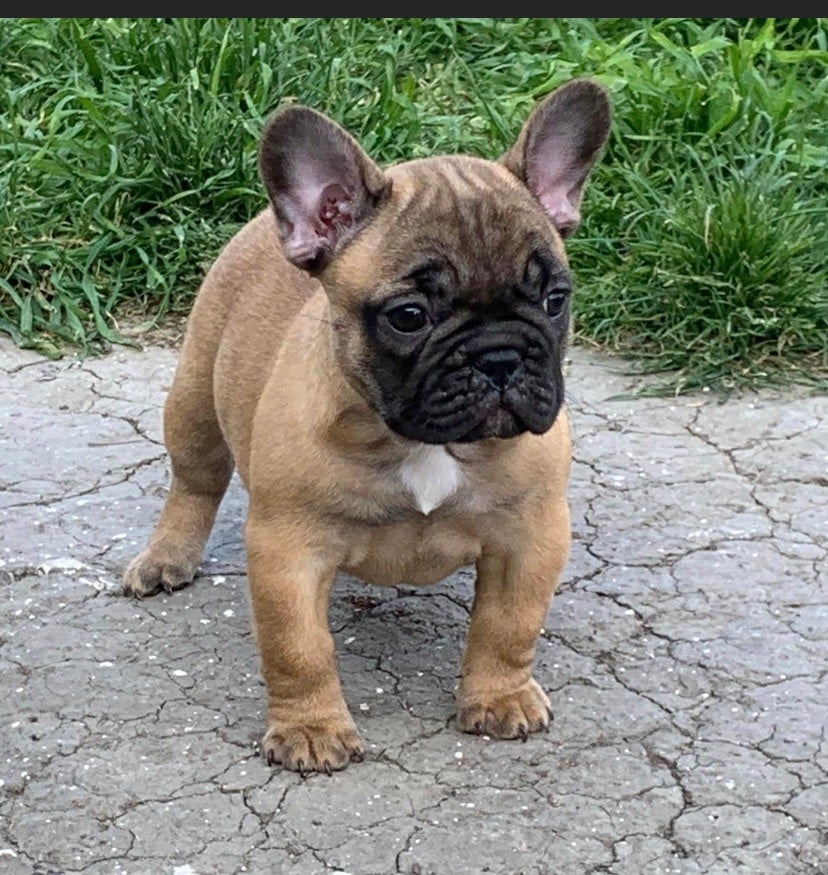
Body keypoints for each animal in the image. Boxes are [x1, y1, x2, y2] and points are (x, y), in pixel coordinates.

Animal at [126, 77, 612, 772]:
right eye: (408, 316)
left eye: (554, 300)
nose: (499, 356)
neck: (421, 440)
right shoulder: (287, 551)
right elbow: (299, 648)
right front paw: (310, 729)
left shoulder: (532, 536)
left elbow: (508, 626)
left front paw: (500, 697)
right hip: (193, 399)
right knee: (194, 480)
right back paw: (167, 556)